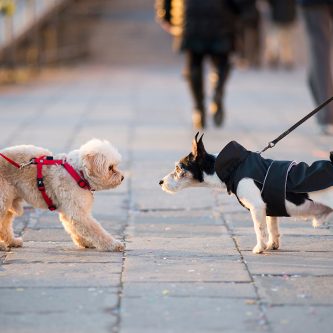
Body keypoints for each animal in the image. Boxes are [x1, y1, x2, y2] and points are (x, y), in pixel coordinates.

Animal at [159, 134, 332, 253]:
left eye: (179, 168)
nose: (160, 182)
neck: (234, 167)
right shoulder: (269, 209)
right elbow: (272, 229)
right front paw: (272, 245)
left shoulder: (257, 208)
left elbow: (259, 229)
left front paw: (260, 248)